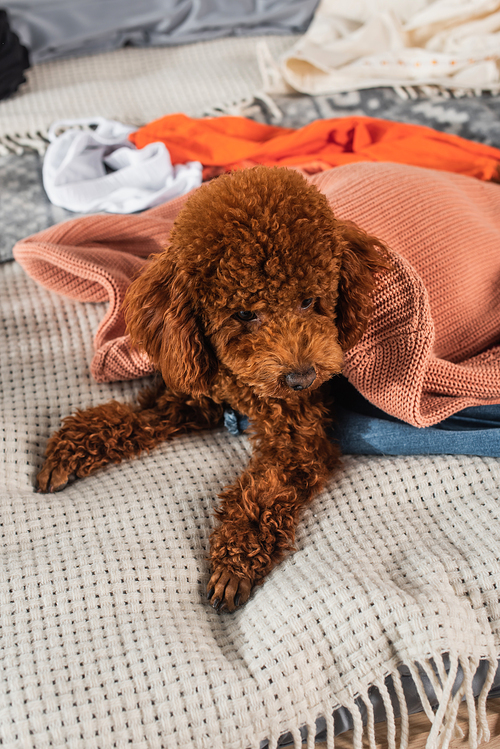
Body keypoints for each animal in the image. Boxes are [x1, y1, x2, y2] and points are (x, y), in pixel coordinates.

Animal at [37, 167, 388, 612]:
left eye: (310, 301)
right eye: (245, 314)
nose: (301, 379)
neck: (243, 392)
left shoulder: (298, 441)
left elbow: (264, 492)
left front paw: (235, 562)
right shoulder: (194, 394)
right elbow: (131, 419)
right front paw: (71, 449)